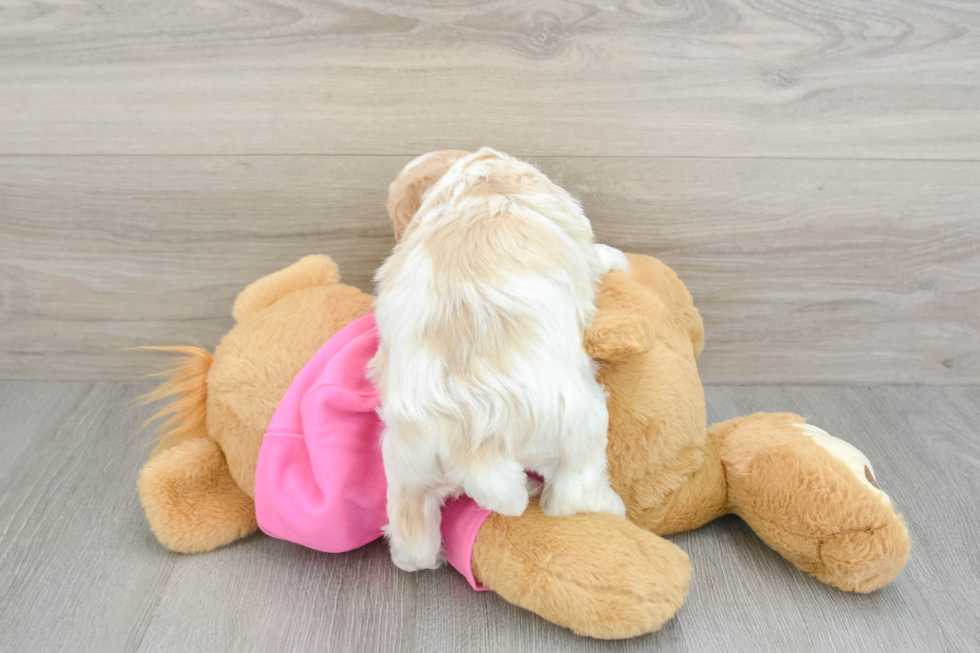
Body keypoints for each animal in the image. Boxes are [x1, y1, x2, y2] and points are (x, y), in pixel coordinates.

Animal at [368, 149, 628, 572]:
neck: (481, 176)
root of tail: (473, 444)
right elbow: (598, 253)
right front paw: (618, 258)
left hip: (409, 468)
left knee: (412, 541)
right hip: (581, 430)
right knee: (572, 496)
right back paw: (609, 508)